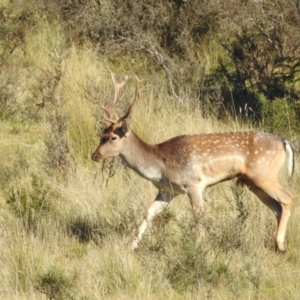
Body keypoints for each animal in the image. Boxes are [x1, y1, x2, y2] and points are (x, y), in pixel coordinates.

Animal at [91, 71, 292, 252]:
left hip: (264, 174)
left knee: (287, 198)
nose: (94, 155)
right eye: (102, 134)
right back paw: (276, 245)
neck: (160, 165)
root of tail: (284, 142)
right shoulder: (167, 191)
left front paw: (201, 247)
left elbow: (198, 216)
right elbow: (148, 212)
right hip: (254, 183)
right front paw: (131, 246)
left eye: (113, 138)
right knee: (277, 207)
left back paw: (281, 245)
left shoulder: (193, 183)